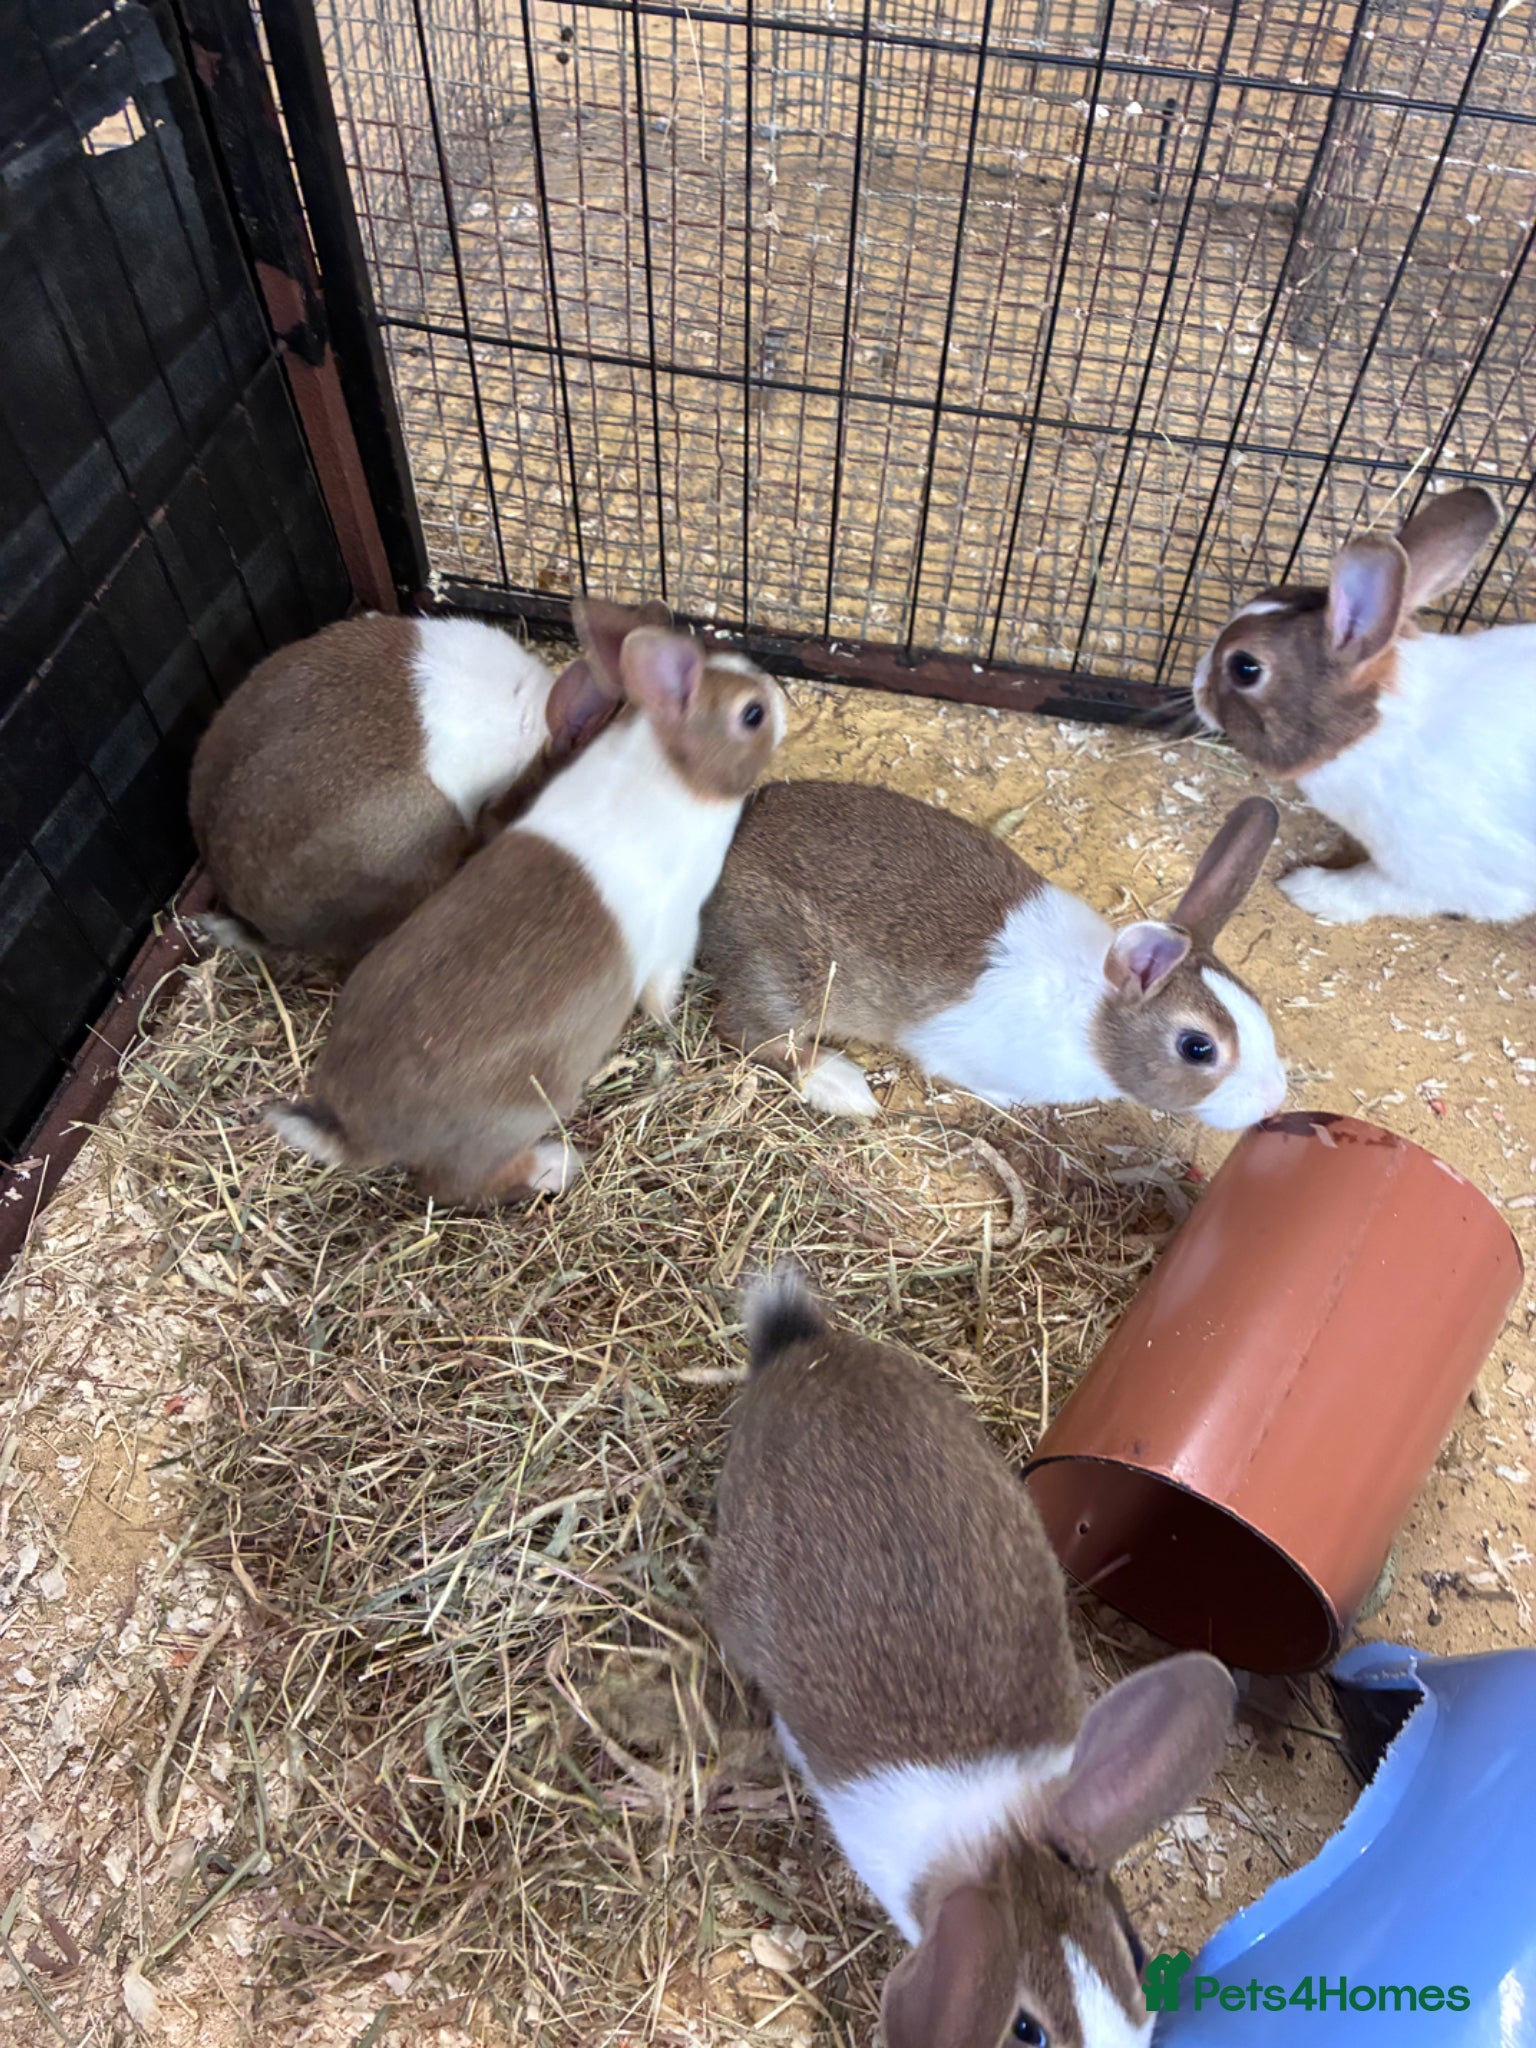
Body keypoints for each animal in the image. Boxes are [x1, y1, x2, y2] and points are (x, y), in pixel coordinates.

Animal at [264, 606, 787, 1205]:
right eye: (752, 714)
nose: (781, 695)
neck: (671, 765)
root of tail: (358, 1132)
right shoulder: (676, 930)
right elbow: (661, 988)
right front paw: (668, 1021)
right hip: (523, 1114)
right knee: (456, 1185)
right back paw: (555, 1165)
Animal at [698, 782, 1287, 1130]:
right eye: (1197, 1048)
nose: (1271, 1102)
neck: (1093, 1017)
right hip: (790, 974)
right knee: (753, 1032)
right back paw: (843, 1085)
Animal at [1189, 484, 1536, 923]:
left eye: (1245, 668)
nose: (1196, 680)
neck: (1376, 730)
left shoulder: (1439, 875)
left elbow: (1374, 889)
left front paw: (1308, 889)